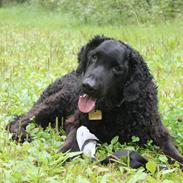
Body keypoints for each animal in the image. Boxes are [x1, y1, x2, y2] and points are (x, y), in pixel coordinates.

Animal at [6, 35, 182, 167]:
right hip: (54, 102)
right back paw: (22, 134)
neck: (118, 109)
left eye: (117, 68)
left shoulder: (158, 131)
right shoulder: (76, 122)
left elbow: (171, 149)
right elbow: (71, 145)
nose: (87, 85)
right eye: (93, 57)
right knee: (19, 120)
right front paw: (56, 158)